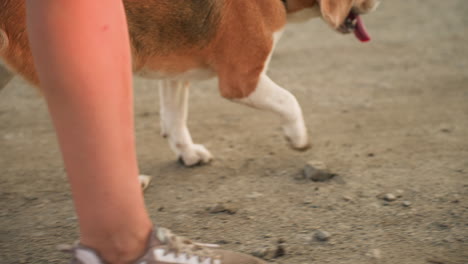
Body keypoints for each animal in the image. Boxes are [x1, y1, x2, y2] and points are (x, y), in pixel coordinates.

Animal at [0, 0, 378, 167]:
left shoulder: (175, 75)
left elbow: (175, 119)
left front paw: (188, 154)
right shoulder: (241, 78)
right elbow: (289, 100)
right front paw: (297, 138)